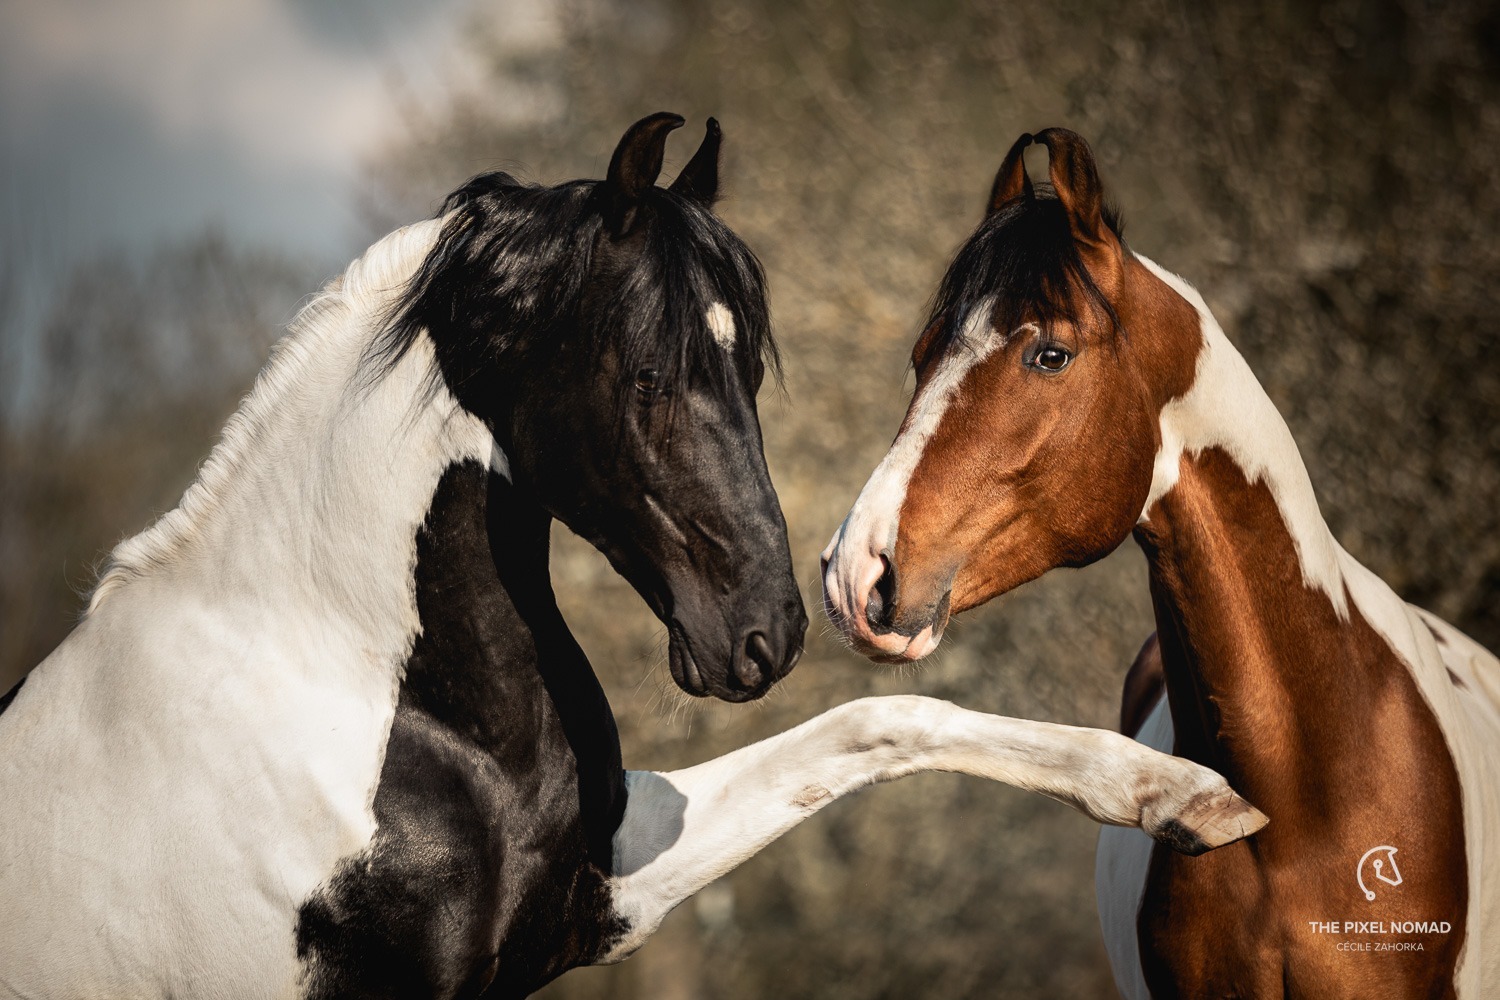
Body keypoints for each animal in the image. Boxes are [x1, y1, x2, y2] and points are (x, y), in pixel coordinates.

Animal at [0, 113, 1266, 995]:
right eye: (646, 372)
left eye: (746, 366)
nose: (766, 634)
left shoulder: (594, 900)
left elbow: (878, 725)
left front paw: (1185, 798)